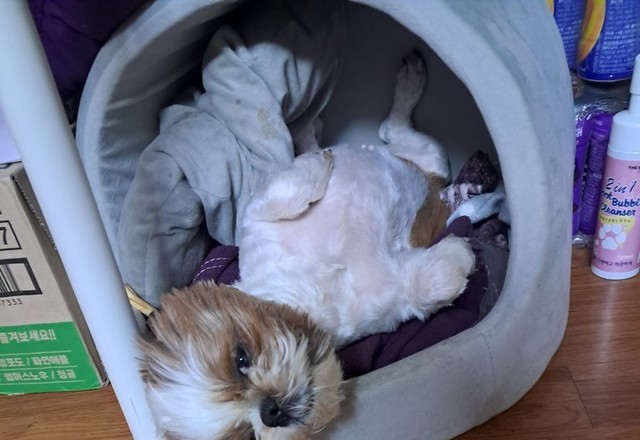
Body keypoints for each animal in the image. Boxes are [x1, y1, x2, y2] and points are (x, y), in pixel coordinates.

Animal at [235, 53, 475, 346]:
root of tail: (433, 184)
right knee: (393, 129)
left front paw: (319, 162)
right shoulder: (385, 297)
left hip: (423, 155)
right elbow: (421, 286)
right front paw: (460, 256)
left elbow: (286, 193)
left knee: (388, 130)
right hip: (428, 155)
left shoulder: (259, 213)